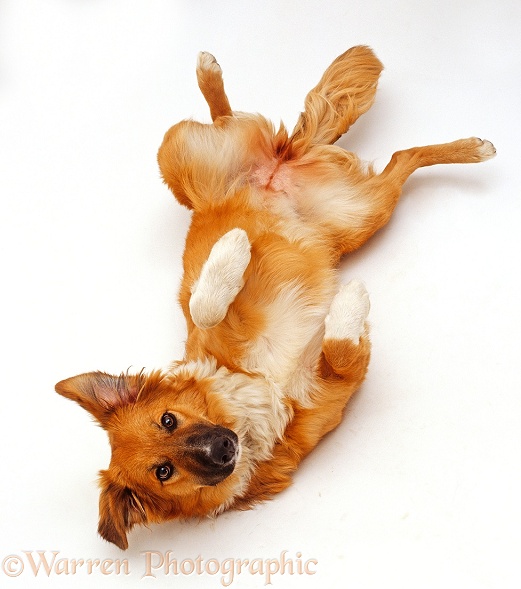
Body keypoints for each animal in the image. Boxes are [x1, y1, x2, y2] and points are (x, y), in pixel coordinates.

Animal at [54, 47, 494, 552]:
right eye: (164, 471)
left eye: (167, 420)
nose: (223, 447)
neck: (253, 403)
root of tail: (282, 161)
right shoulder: (341, 380)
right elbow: (342, 348)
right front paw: (350, 305)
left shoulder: (215, 333)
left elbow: (204, 305)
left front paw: (232, 250)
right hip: (365, 212)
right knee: (403, 157)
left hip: (177, 154)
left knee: (228, 117)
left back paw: (209, 73)